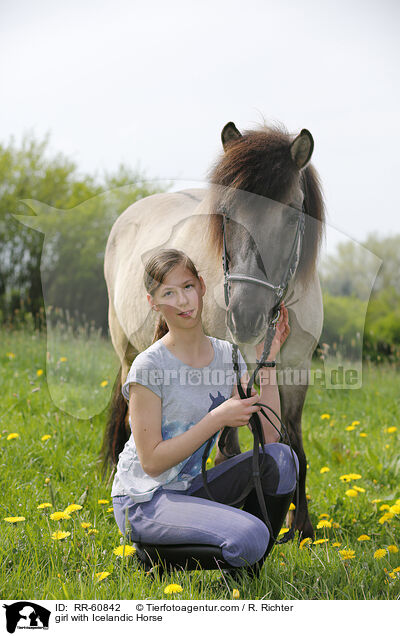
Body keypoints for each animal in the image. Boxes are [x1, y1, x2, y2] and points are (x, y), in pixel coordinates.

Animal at [101, 121, 324, 540]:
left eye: (291, 216)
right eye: (226, 214)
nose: (246, 316)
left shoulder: (296, 369)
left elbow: (296, 446)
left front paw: (301, 528)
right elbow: (227, 450)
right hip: (126, 352)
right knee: (128, 421)